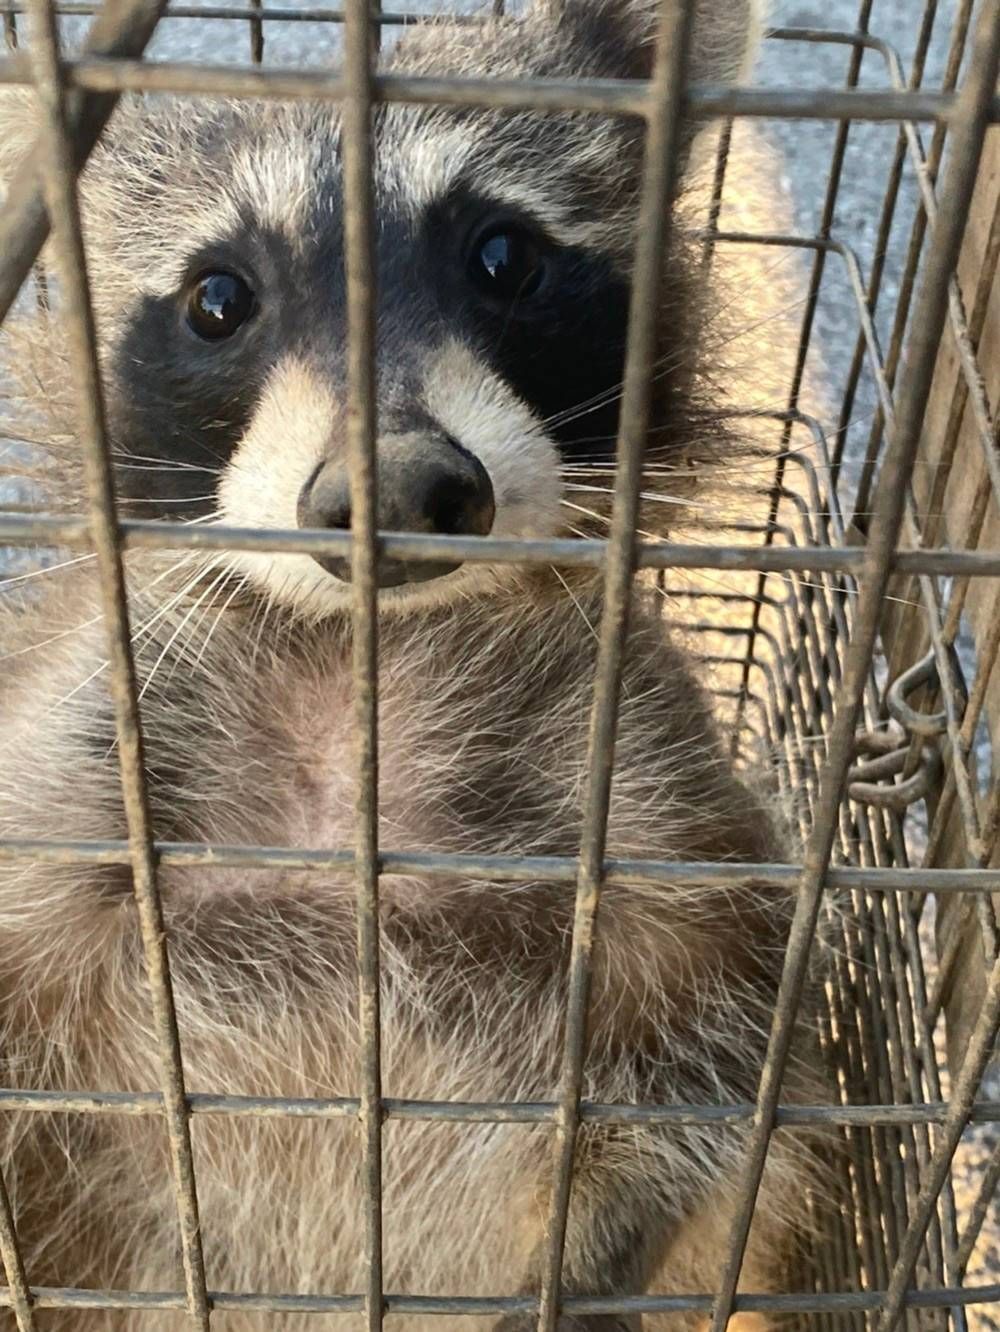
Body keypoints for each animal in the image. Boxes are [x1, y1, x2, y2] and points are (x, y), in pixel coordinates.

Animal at [0, 0, 821, 1328]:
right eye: (218, 296)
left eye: (503, 257)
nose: (396, 486)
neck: (368, 677)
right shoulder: (69, 777)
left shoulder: (651, 792)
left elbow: (716, 1062)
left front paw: (584, 1255)